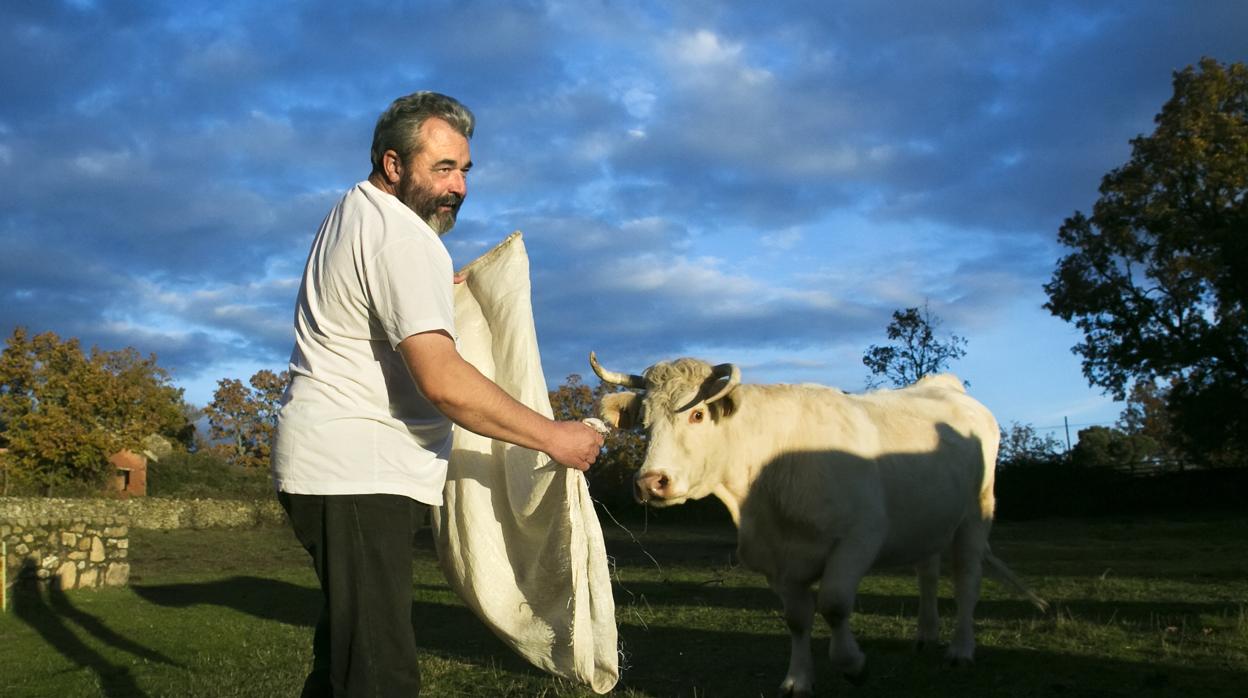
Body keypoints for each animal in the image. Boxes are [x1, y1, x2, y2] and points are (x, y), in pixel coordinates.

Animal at [589, 354, 1048, 698]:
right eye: (645, 424)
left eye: (697, 414)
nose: (650, 482)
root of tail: (946, 386)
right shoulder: (777, 559)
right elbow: (797, 618)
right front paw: (798, 680)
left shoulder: (858, 540)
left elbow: (834, 604)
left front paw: (854, 665)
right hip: (927, 520)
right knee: (928, 574)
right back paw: (925, 634)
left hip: (975, 514)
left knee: (967, 581)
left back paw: (960, 649)